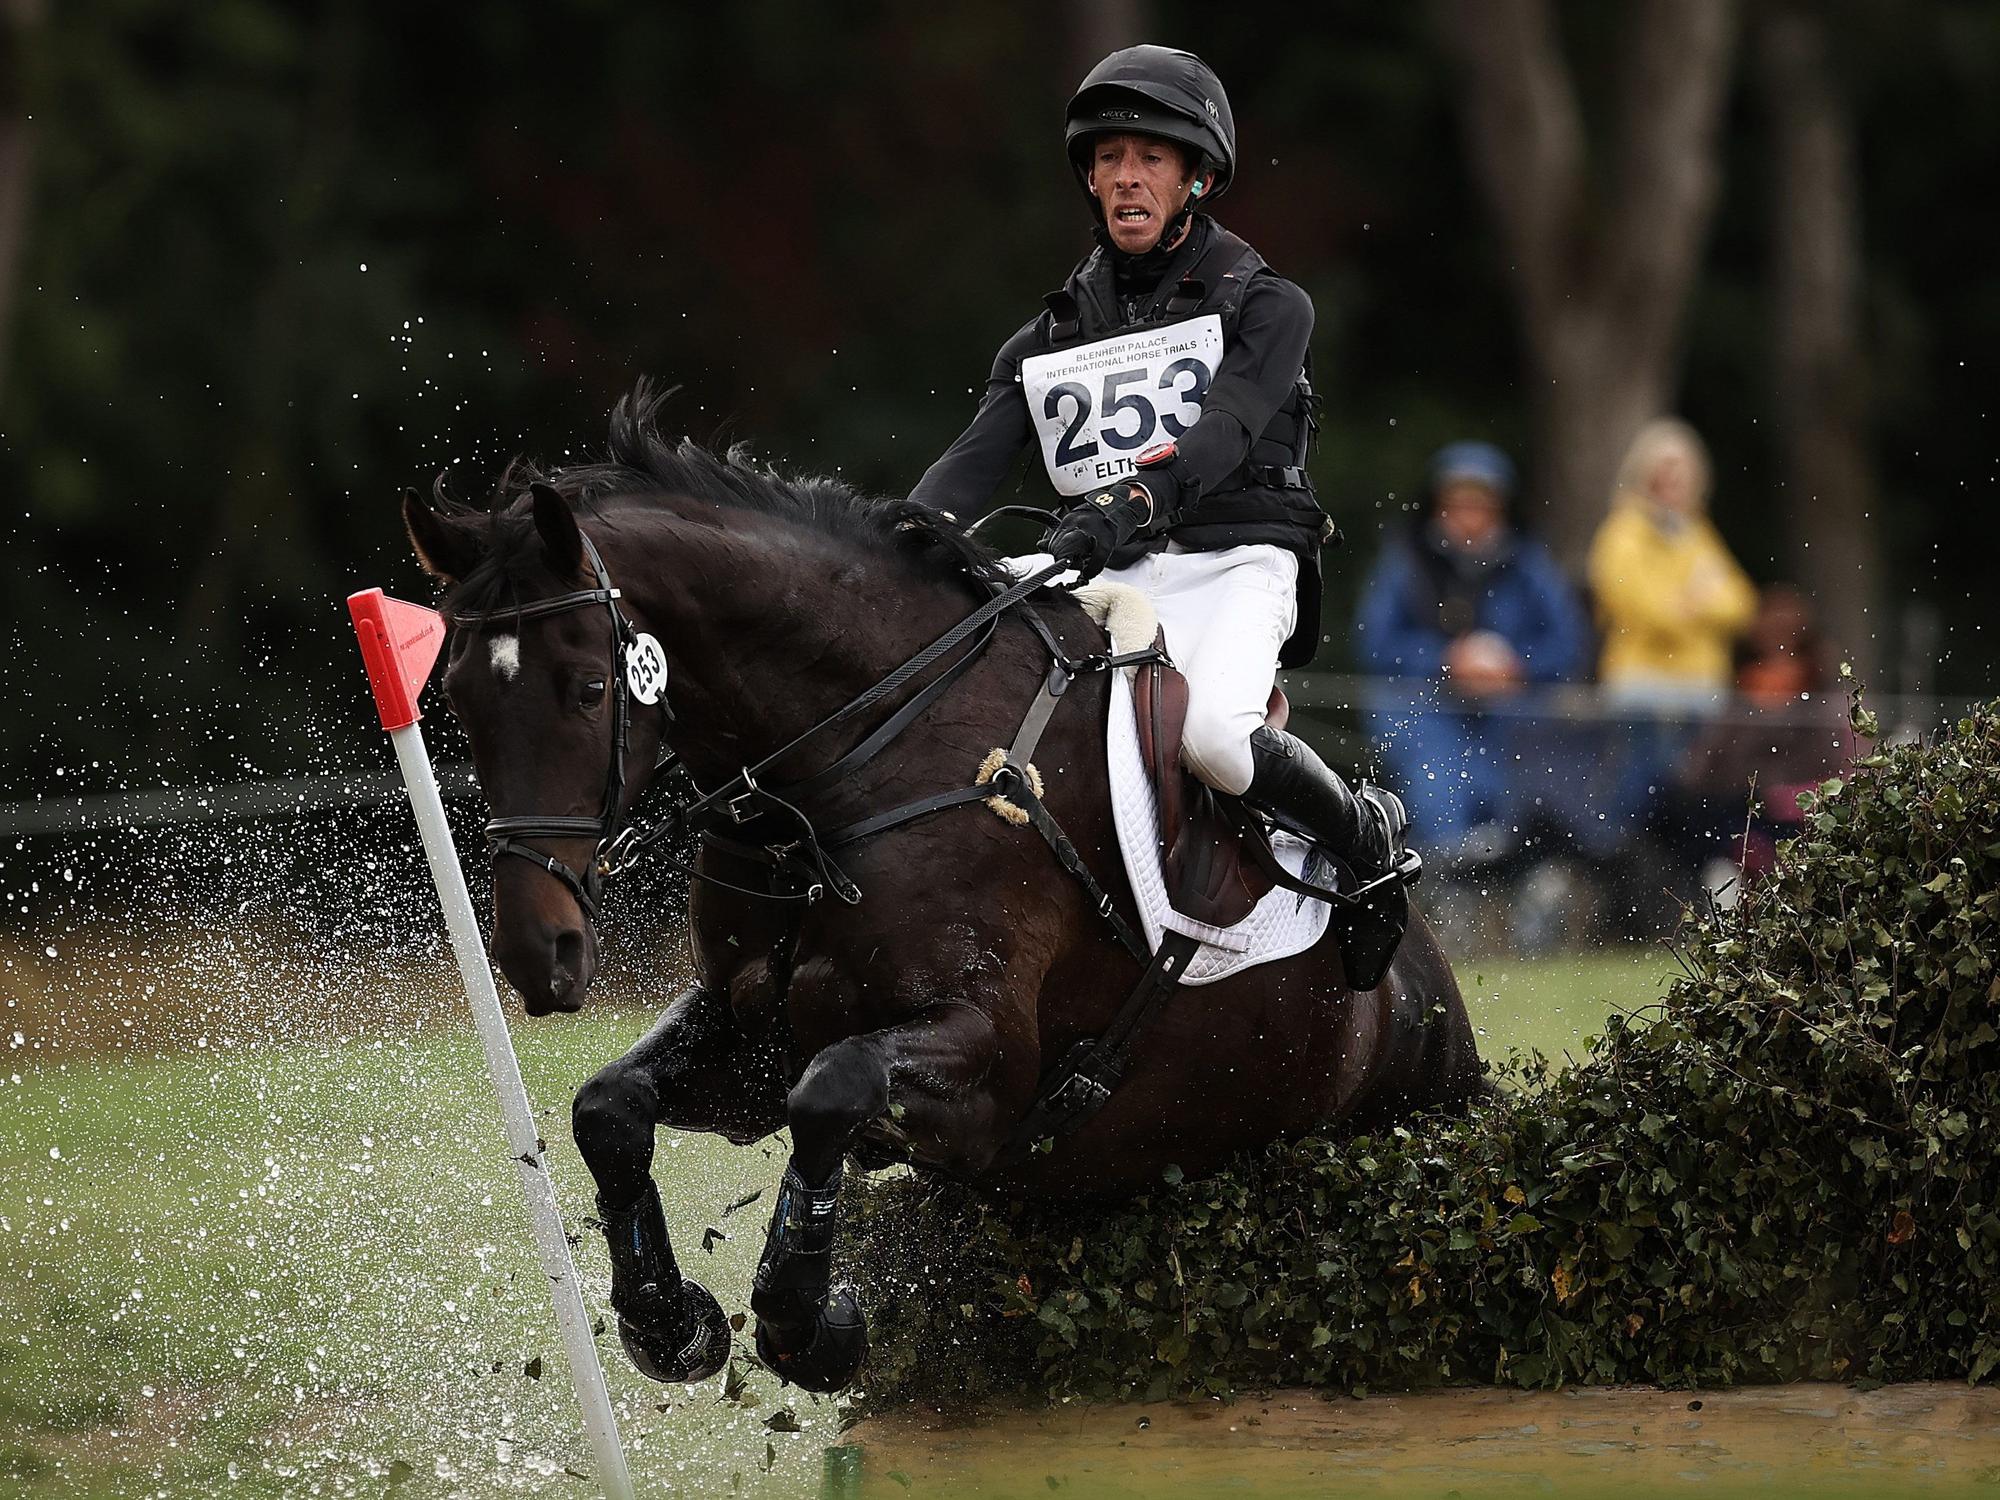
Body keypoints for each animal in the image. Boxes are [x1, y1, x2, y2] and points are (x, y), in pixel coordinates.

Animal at [403, 384, 1483, 1394]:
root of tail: (1426, 983)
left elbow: (829, 1095)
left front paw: (812, 1328)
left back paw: (1377, 870)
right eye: (452, 694)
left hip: (1414, 1101)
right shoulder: (750, 1028)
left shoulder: (988, 1066)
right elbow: (609, 1107)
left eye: (589, 689)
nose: (536, 952)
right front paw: (671, 1325)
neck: (853, 766)